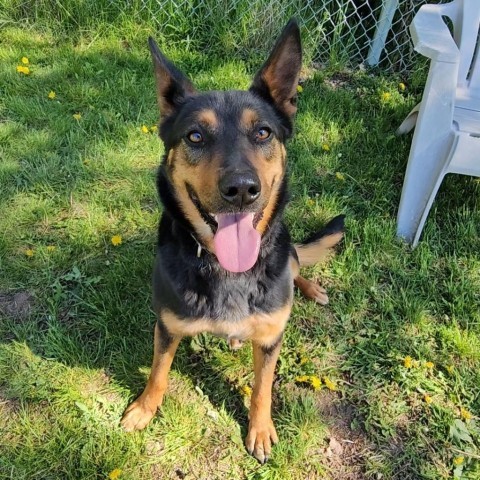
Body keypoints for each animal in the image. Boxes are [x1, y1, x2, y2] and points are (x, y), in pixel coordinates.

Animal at [120, 20, 344, 464]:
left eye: (262, 132)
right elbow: (158, 372)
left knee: (297, 264)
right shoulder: (166, 326)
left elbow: (262, 388)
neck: (228, 270)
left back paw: (311, 289)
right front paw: (143, 409)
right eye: (194, 136)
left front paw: (260, 429)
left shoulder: (272, 339)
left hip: (288, 258)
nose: (241, 189)